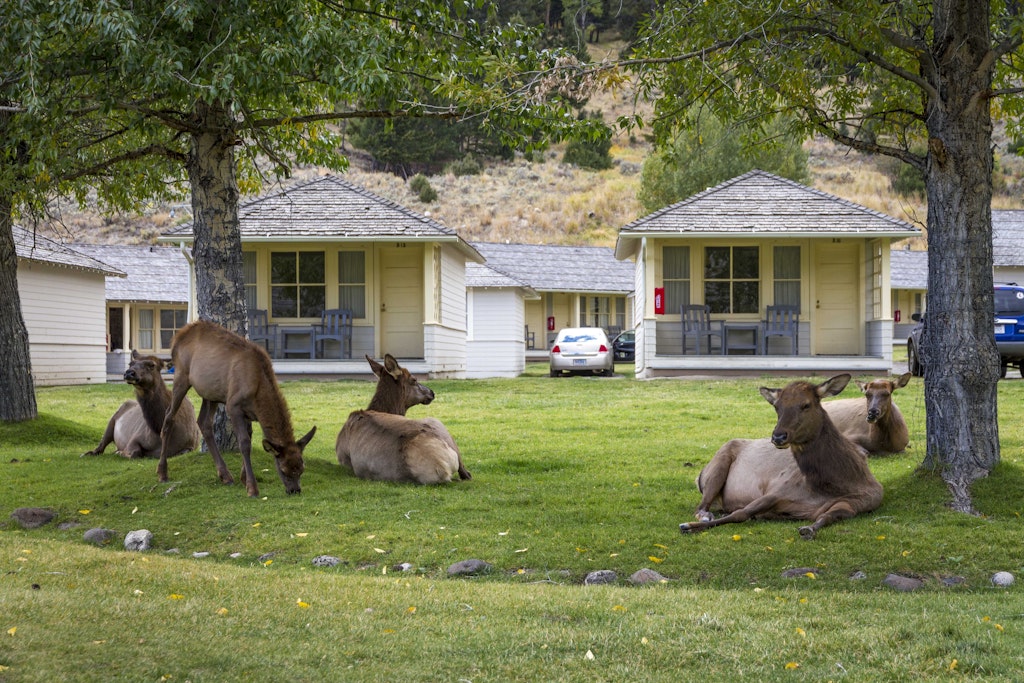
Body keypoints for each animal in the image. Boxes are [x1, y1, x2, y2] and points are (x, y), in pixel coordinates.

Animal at [155, 321, 313, 497]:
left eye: (302, 469)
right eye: (283, 470)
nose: (295, 490)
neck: (258, 391)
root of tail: (177, 338)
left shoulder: (249, 414)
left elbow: (249, 436)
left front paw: (243, 478)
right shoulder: (233, 405)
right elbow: (244, 443)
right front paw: (252, 487)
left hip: (210, 393)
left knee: (203, 422)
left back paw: (225, 475)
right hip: (182, 376)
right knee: (169, 417)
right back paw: (162, 473)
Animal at [675, 374, 884, 540]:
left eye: (806, 404)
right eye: (776, 406)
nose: (778, 436)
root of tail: (699, 475)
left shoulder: (856, 503)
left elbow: (826, 516)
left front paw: (808, 529)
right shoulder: (777, 490)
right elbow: (740, 513)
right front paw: (688, 526)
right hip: (717, 464)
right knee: (701, 506)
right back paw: (704, 516)